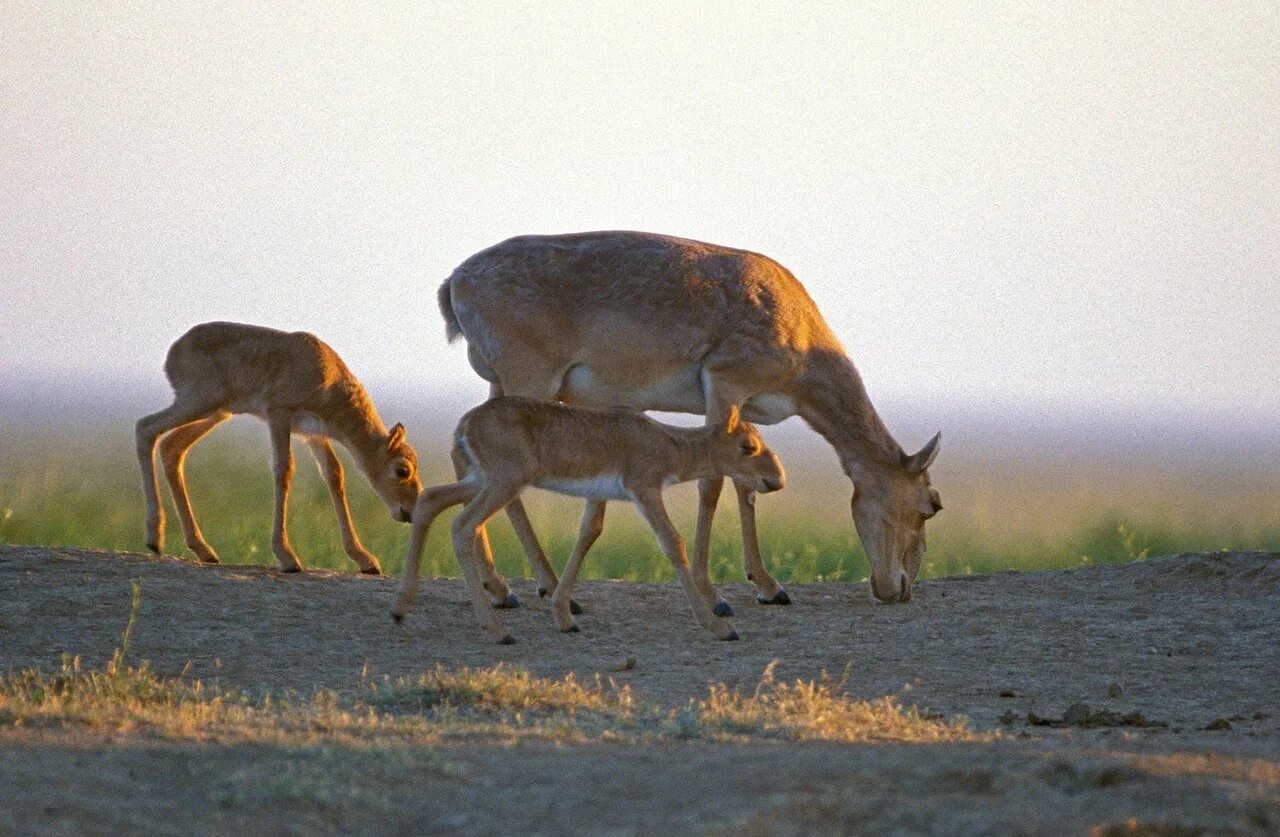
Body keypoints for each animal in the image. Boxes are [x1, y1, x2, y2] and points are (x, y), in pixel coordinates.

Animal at [137, 322, 422, 578]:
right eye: (402, 470)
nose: (410, 511)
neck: (329, 377)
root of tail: (174, 350)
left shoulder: (314, 434)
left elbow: (334, 474)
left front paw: (365, 559)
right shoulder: (279, 414)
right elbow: (284, 469)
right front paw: (287, 556)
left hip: (217, 411)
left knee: (171, 447)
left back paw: (203, 549)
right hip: (200, 402)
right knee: (146, 428)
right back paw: (154, 537)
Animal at [394, 396, 783, 645]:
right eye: (748, 446)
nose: (776, 479)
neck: (668, 443)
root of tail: (466, 423)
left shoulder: (599, 496)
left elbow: (587, 535)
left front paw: (565, 617)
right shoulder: (645, 490)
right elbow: (673, 543)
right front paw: (720, 626)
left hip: (479, 480)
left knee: (429, 501)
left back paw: (400, 609)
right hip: (502, 482)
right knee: (463, 526)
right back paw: (499, 630)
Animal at [437, 232, 942, 614]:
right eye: (930, 506)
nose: (900, 588)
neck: (797, 325)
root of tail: (455, 280)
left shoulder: (733, 409)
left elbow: (742, 485)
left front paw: (768, 586)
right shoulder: (724, 386)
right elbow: (713, 484)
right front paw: (716, 595)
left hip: (503, 387)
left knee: (465, 452)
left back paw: (502, 588)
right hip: (530, 383)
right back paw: (538, 587)